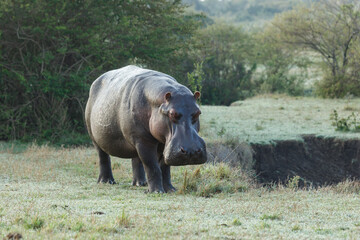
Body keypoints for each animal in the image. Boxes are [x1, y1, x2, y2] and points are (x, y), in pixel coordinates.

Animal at [84, 65, 207, 193]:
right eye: (172, 113)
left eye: (198, 112)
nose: (191, 151)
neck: (157, 104)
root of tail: (95, 81)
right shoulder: (143, 140)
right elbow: (152, 165)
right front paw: (157, 191)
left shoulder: (165, 144)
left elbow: (165, 167)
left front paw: (170, 189)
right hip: (96, 136)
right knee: (103, 157)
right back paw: (107, 181)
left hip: (133, 141)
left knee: (136, 159)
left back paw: (140, 183)